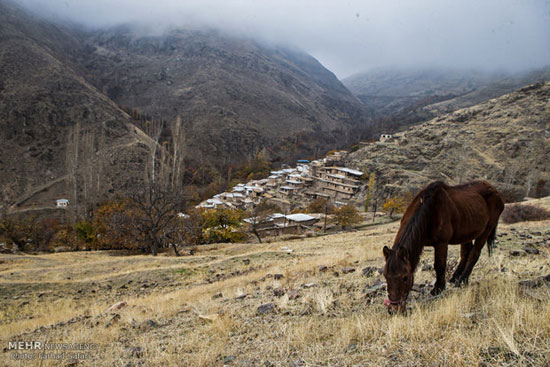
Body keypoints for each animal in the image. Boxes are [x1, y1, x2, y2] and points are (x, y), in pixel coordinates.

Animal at [384, 181, 504, 314]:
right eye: (385, 276)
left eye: (405, 277)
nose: (394, 309)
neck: (429, 209)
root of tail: (495, 190)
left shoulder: (441, 243)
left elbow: (440, 266)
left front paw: (438, 288)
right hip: (466, 233)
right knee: (466, 253)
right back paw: (455, 278)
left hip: (486, 230)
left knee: (474, 254)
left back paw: (462, 280)